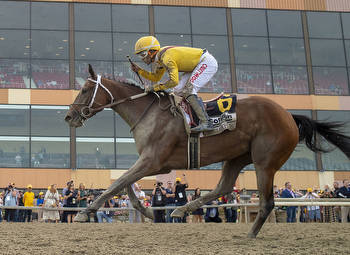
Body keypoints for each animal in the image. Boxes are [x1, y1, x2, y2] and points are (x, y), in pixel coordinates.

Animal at [64, 65, 348, 237]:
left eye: (85, 89)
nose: (69, 116)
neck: (149, 113)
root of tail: (289, 115)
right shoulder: (153, 163)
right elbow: (125, 184)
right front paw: (147, 211)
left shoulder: (153, 160)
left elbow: (119, 182)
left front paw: (85, 213)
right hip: (237, 156)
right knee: (224, 187)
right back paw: (181, 210)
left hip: (264, 162)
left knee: (267, 201)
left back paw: (249, 234)